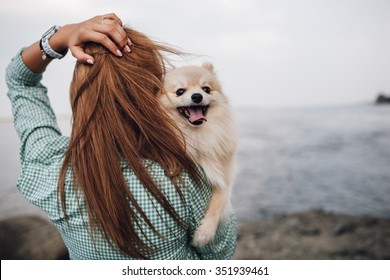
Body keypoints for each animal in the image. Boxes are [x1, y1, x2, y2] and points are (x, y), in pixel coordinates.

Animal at [158, 62, 238, 246]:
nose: (196, 96)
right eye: (180, 91)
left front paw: (204, 233)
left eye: (206, 89)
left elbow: (219, 201)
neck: (196, 134)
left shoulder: (224, 176)